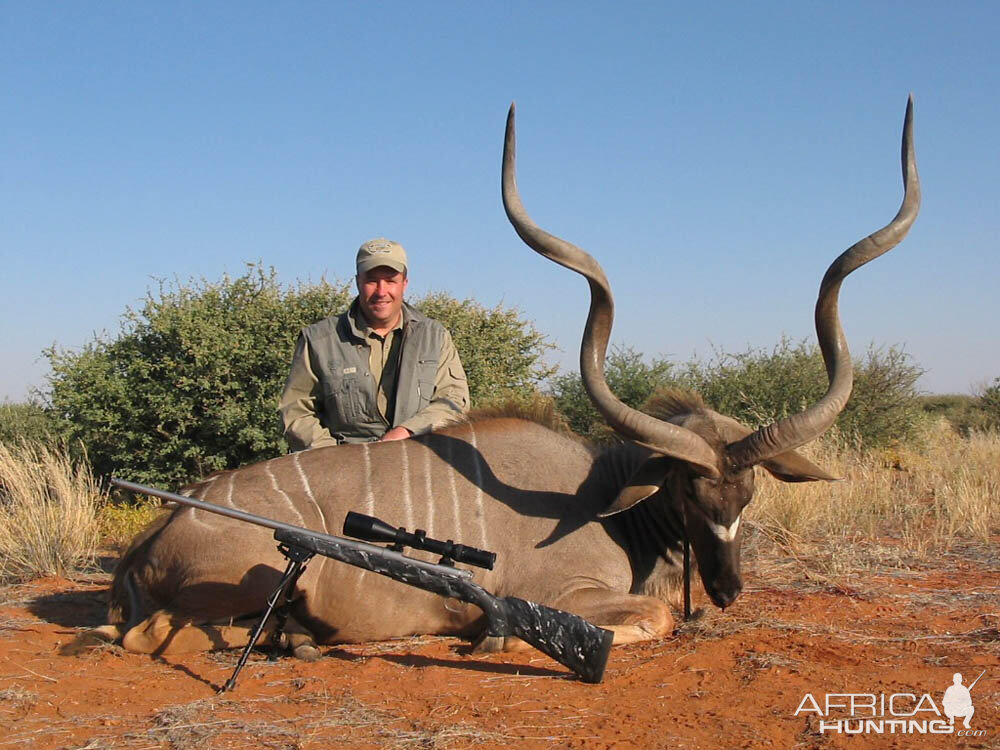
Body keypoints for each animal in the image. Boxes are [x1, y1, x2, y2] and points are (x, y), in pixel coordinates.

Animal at [90, 98, 916, 664]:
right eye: (687, 490)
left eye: (748, 495)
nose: (731, 589)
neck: (603, 501)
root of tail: (161, 528)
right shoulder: (567, 594)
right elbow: (649, 619)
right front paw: (495, 642)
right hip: (248, 585)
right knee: (158, 637)